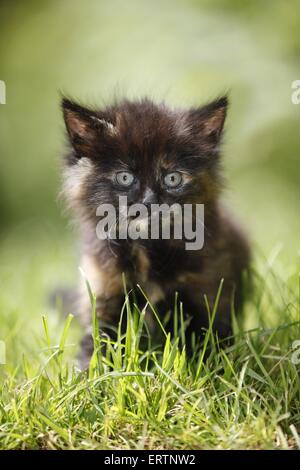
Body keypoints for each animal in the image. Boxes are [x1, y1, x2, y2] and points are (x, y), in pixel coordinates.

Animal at [61, 95, 251, 368]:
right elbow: (97, 348)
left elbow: (210, 344)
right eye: (125, 177)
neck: (149, 248)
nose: (150, 201)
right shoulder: (104, 293)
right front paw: (90, 376)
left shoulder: (207, 292)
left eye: (172, 178)